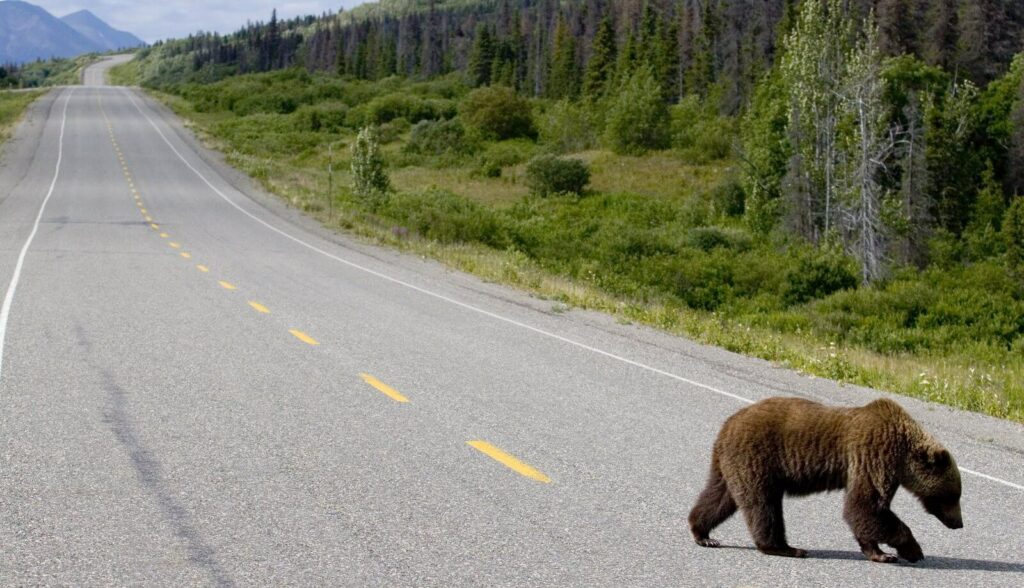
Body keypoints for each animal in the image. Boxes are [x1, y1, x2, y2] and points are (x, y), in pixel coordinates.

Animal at [688, 399, 958, 565]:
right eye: (954, 495)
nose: (959, 523)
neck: (903, 454)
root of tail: (727, 425)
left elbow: (864, 511)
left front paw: (879, 552)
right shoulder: (874, 455)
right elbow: (866, 507)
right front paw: (912, 550)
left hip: (729, 465)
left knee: (719, 497)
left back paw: (703, 533)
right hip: (756, 458)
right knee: (763, 505)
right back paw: (786, 547)